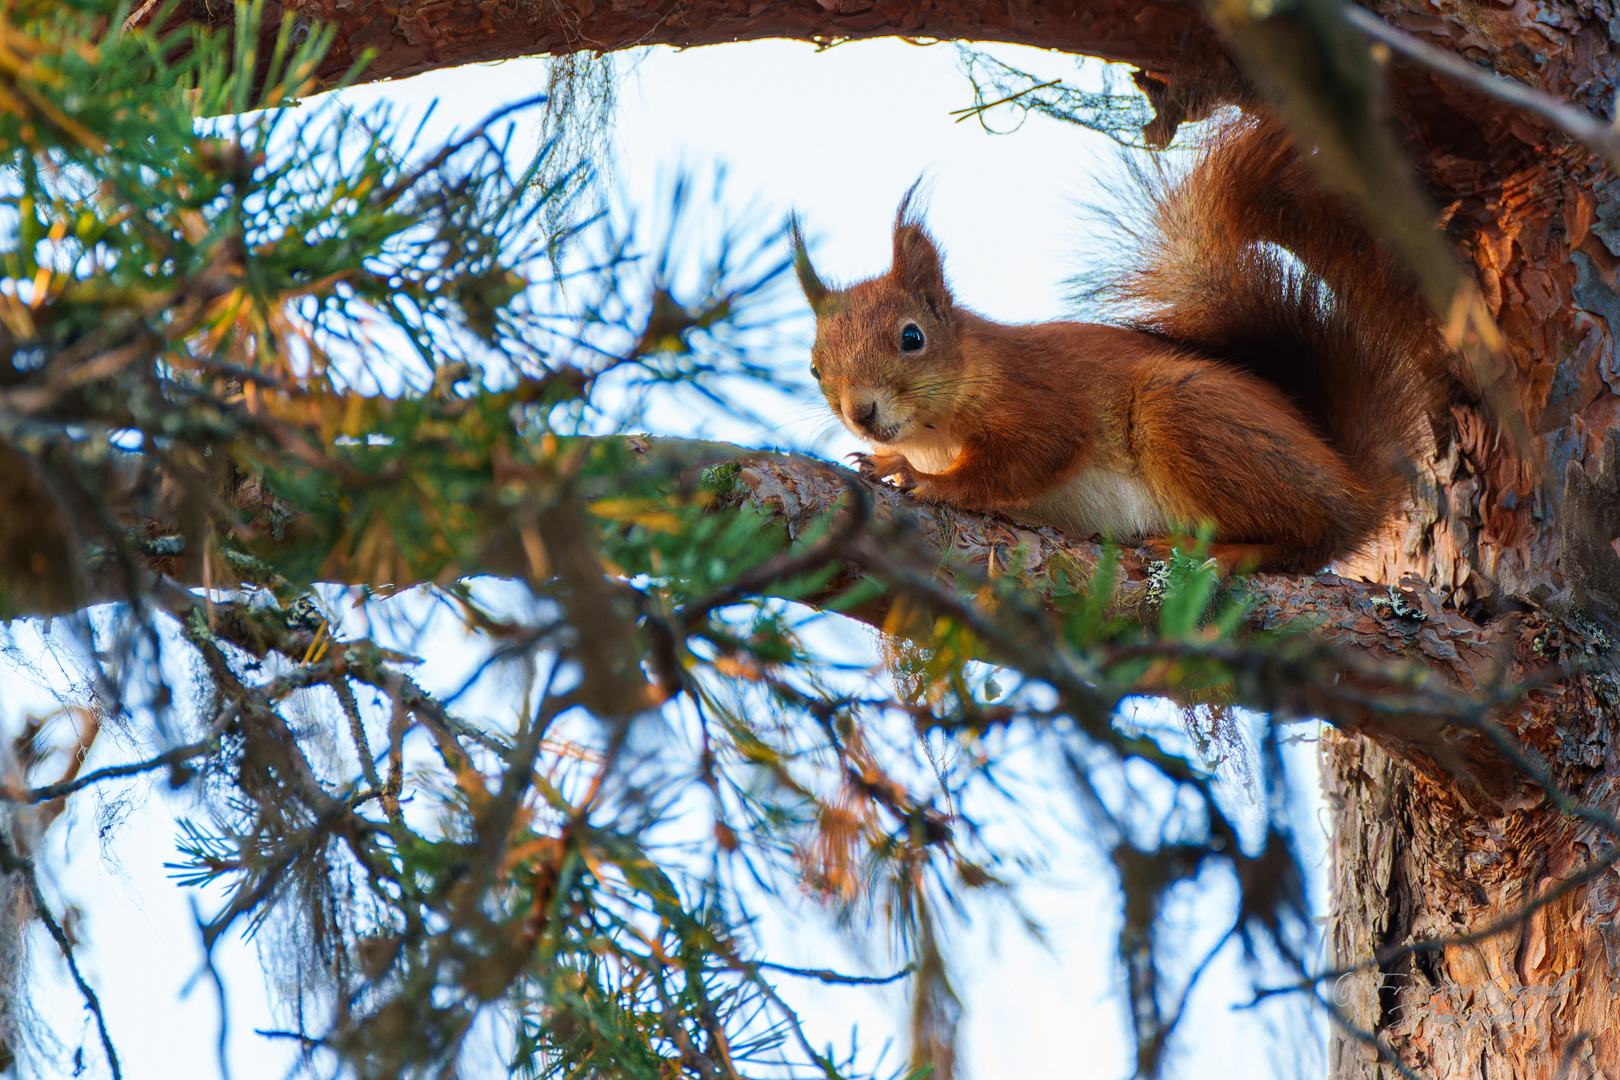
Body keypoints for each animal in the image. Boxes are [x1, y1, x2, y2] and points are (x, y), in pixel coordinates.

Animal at [790, 111, 1451, 573]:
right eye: (815, 367)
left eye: (912, 337)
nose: (862, 413)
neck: (936, 429)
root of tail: (1354, 486)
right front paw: (883, 461)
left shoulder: (1039, 395)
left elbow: (1032, 453)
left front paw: (923, 479)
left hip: (1182, 409)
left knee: (1307, 538)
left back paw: (1226, 553)